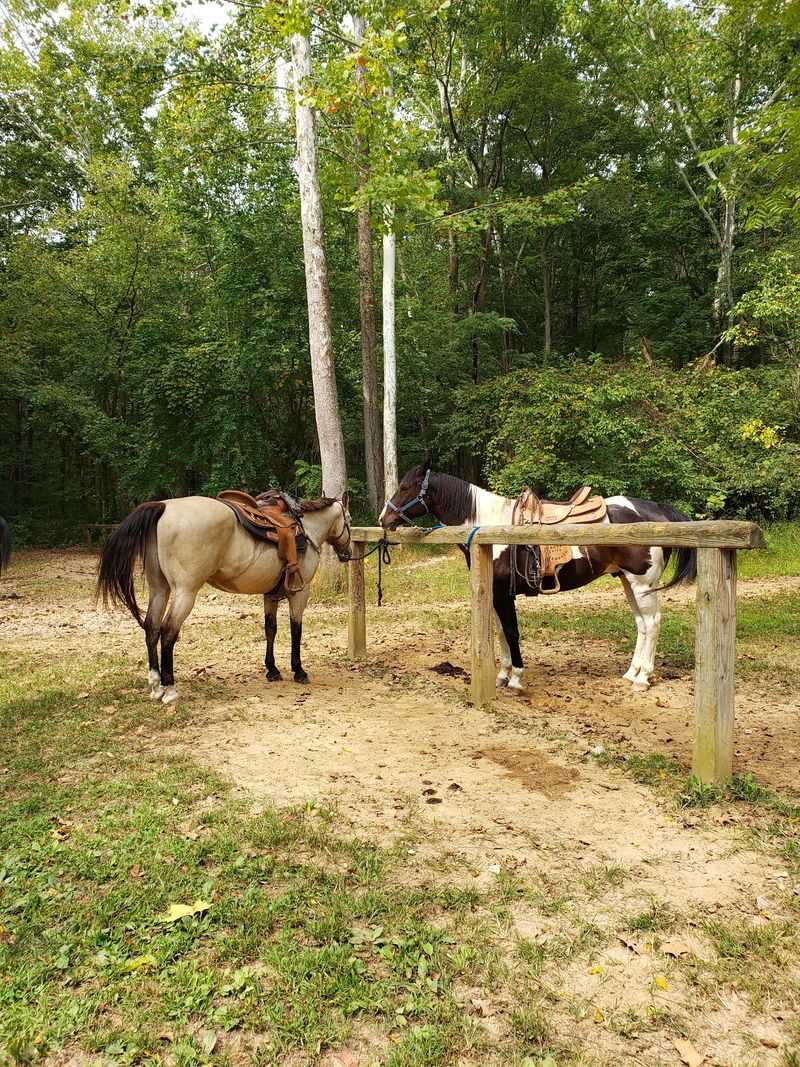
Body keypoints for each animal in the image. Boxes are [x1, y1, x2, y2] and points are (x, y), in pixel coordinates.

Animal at [97, 493, 351, 705]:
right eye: (348, 519)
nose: (347, 554)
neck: (306, 530)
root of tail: (165, 506)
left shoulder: (270, 595)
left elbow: (270, 629)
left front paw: (272, 670)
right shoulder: (300, 593)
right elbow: (296, 629)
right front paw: (298, 670)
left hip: (159, 589)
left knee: (151, 627)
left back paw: (156, 686)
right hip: (185, 592)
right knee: (168, 632)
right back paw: (170, 689)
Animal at [380, 462, 696, 692]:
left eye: (405, 486)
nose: (384, 519)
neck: (492, 529)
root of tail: (656, 509)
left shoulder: (503, 595)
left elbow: (511, 632)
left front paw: (516, 678)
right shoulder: (496, 594)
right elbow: (501, 633)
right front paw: (503, 675)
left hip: (642, 584)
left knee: (652, 623)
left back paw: (642, 679)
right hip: (627, 582)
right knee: (642, 624)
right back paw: (632, 673)